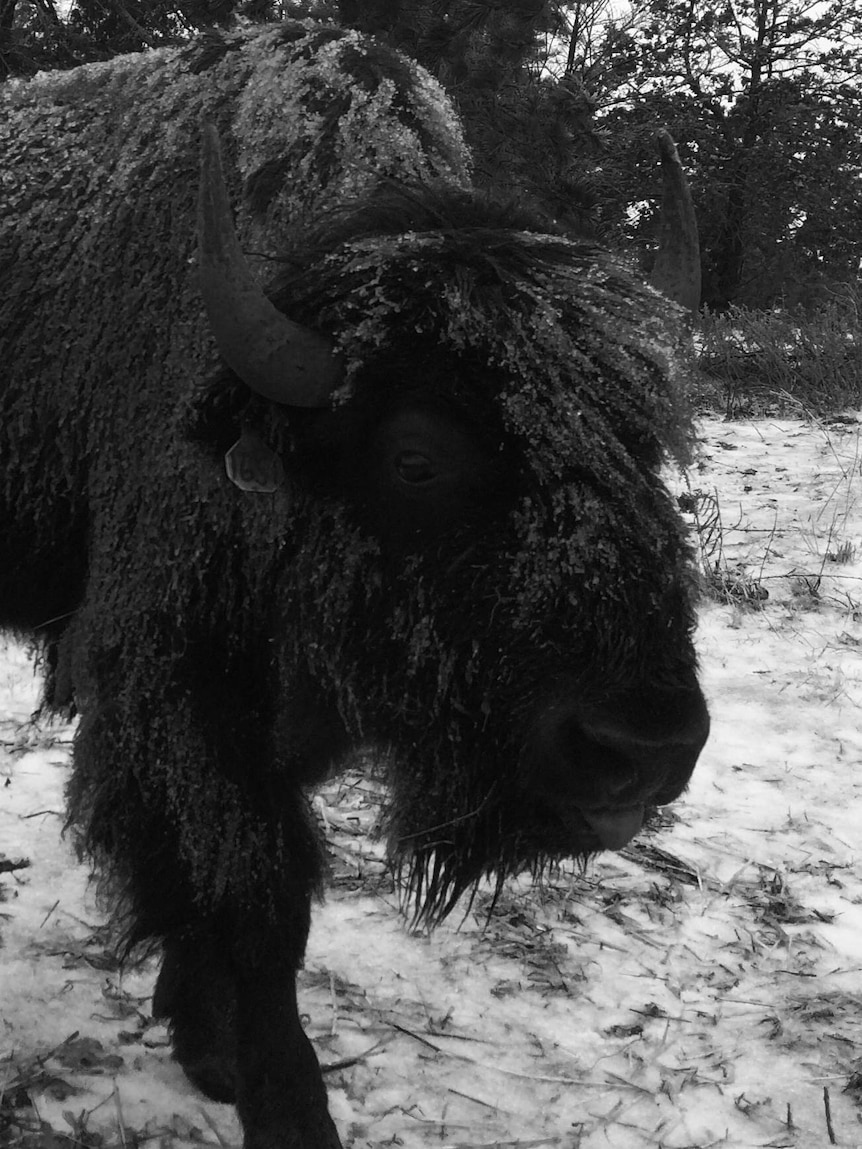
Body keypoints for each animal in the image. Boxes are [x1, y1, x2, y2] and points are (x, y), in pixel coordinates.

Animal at [0, 20, 712, 1149]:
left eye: (645, 438)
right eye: (415, 458)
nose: (638, 755)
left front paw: (205, 1049)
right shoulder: (180, 694)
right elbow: (256, 899)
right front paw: (279, 1097)